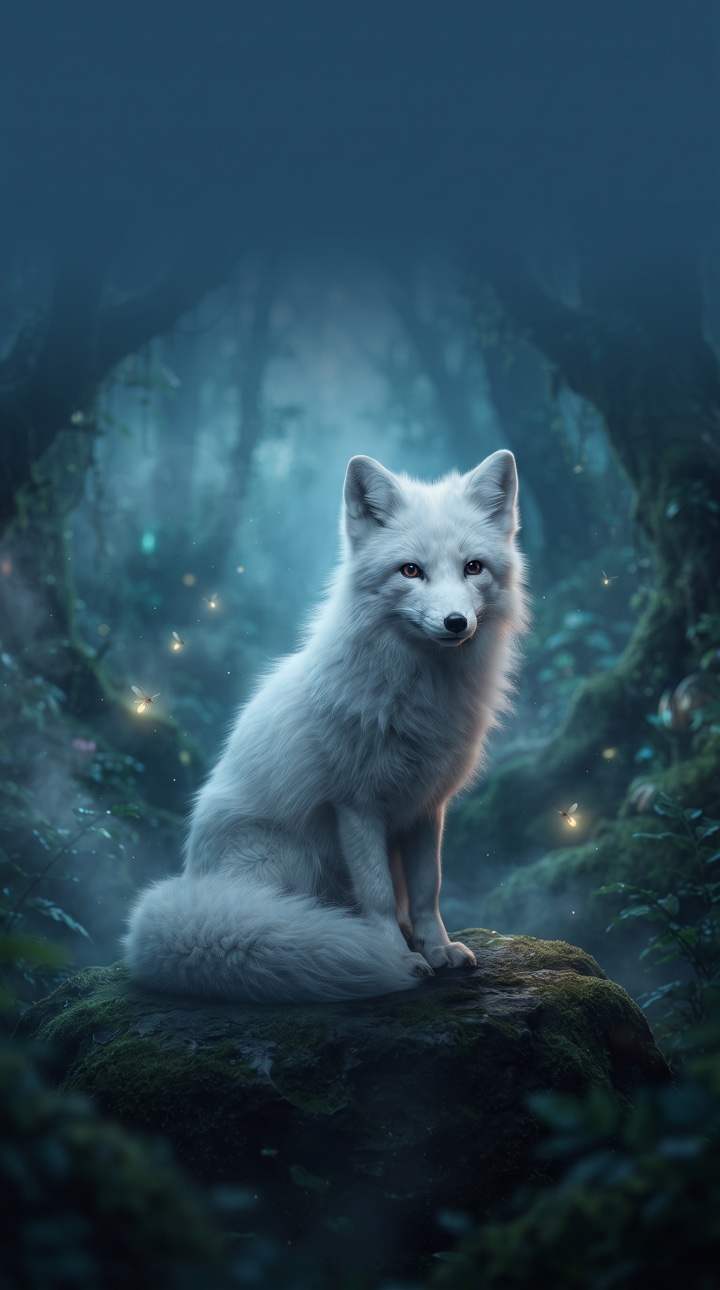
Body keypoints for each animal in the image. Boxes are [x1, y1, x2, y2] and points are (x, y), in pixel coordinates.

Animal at [124, 451, 529, 1003]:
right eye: (410, 571)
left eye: (473, 567)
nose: (455, 623)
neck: (420, 697)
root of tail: (194, 880)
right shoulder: (356, 805)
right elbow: (379, 895)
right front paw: (395, 956)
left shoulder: (426, 806)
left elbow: (428, 889)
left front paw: (437, 948)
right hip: (291, 862)